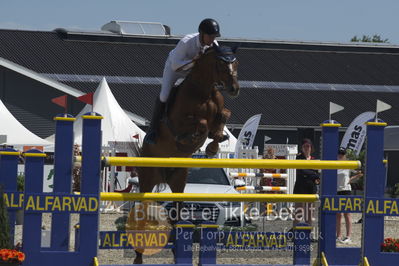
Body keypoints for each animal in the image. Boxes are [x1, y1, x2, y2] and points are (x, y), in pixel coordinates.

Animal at [133, 45, 239, 264]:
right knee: (143, 213)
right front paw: (199, 140)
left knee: (175, 215)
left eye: (236, 62)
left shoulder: (220, 110)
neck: (203, 91)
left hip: (178, 181)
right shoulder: (181, 122)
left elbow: (223, 115)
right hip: (147, 179)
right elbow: (201, 123)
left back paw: (176, 253)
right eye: (221, 63)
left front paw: (214, 144)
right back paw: (138, 256)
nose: (234, 88)